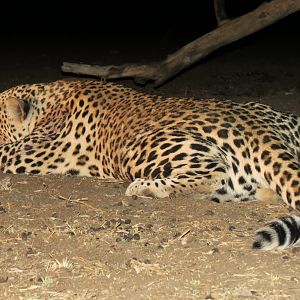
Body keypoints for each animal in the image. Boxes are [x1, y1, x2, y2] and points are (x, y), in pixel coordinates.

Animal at [0, 79, 298, 251]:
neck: (45, 101)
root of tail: (257, 128)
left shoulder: (33, 149)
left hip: (136, 147)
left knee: (215, 172)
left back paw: (145, 187)